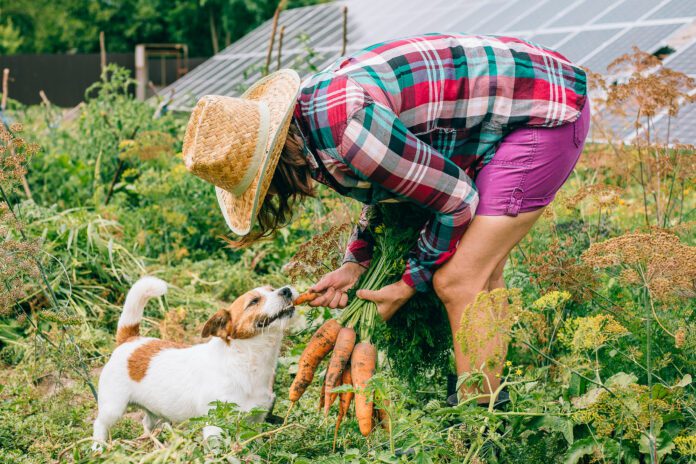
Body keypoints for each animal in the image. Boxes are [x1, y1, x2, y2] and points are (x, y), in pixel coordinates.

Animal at [93, 276, 296, 450]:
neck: (246, 362)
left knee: (147, 423)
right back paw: (98, 448)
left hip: (155, 412)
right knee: (99, 424)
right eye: (254, 301)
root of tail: (131, 339)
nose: (286, 290)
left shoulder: (254, 424)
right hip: (113, 408)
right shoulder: (215, 426)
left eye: (272, 289)